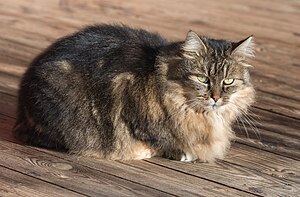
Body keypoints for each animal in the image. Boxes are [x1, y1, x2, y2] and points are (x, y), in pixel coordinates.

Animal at [12, 23, 254, 162]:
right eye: (203, 79)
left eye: (228, 81)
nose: (216, 97)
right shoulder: (134, 108)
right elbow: (159, 139)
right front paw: (179, 152)